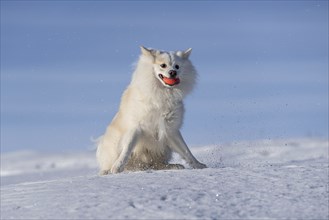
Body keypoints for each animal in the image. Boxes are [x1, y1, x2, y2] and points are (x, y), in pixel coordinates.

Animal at [96, 46, 206, 174]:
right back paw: (108, 171)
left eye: (177, 66)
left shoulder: (170, 130)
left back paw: (173, 166)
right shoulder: (136, 127)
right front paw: (117, 167)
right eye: (163, 65)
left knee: (157, 164)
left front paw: (198, 165)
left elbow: (186, 151)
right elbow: (127, 149)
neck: (163, 93)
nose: (173, 72)